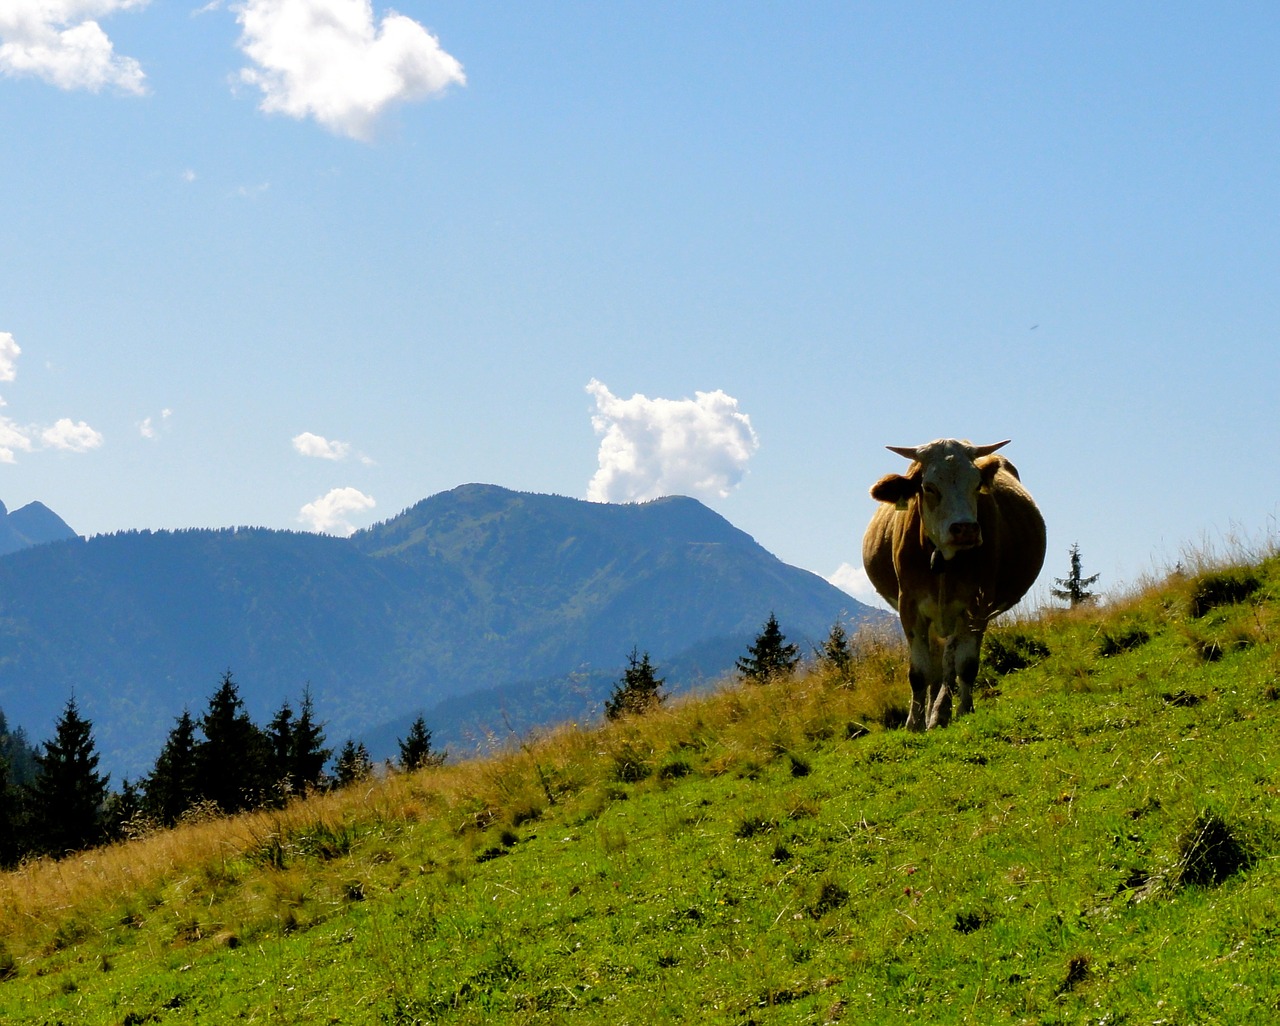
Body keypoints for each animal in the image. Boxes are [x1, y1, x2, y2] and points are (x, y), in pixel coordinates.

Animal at [860, 434, 1049, 731]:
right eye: (928, 487)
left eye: (976, 484)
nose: (966, 529)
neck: (943, 559)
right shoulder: (909, 605)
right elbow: (919, 672)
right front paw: (914, 723)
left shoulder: (978, 605)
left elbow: (966, 665)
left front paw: (963, 709)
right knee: (937, 666)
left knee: (948, 663)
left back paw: (940, 712)